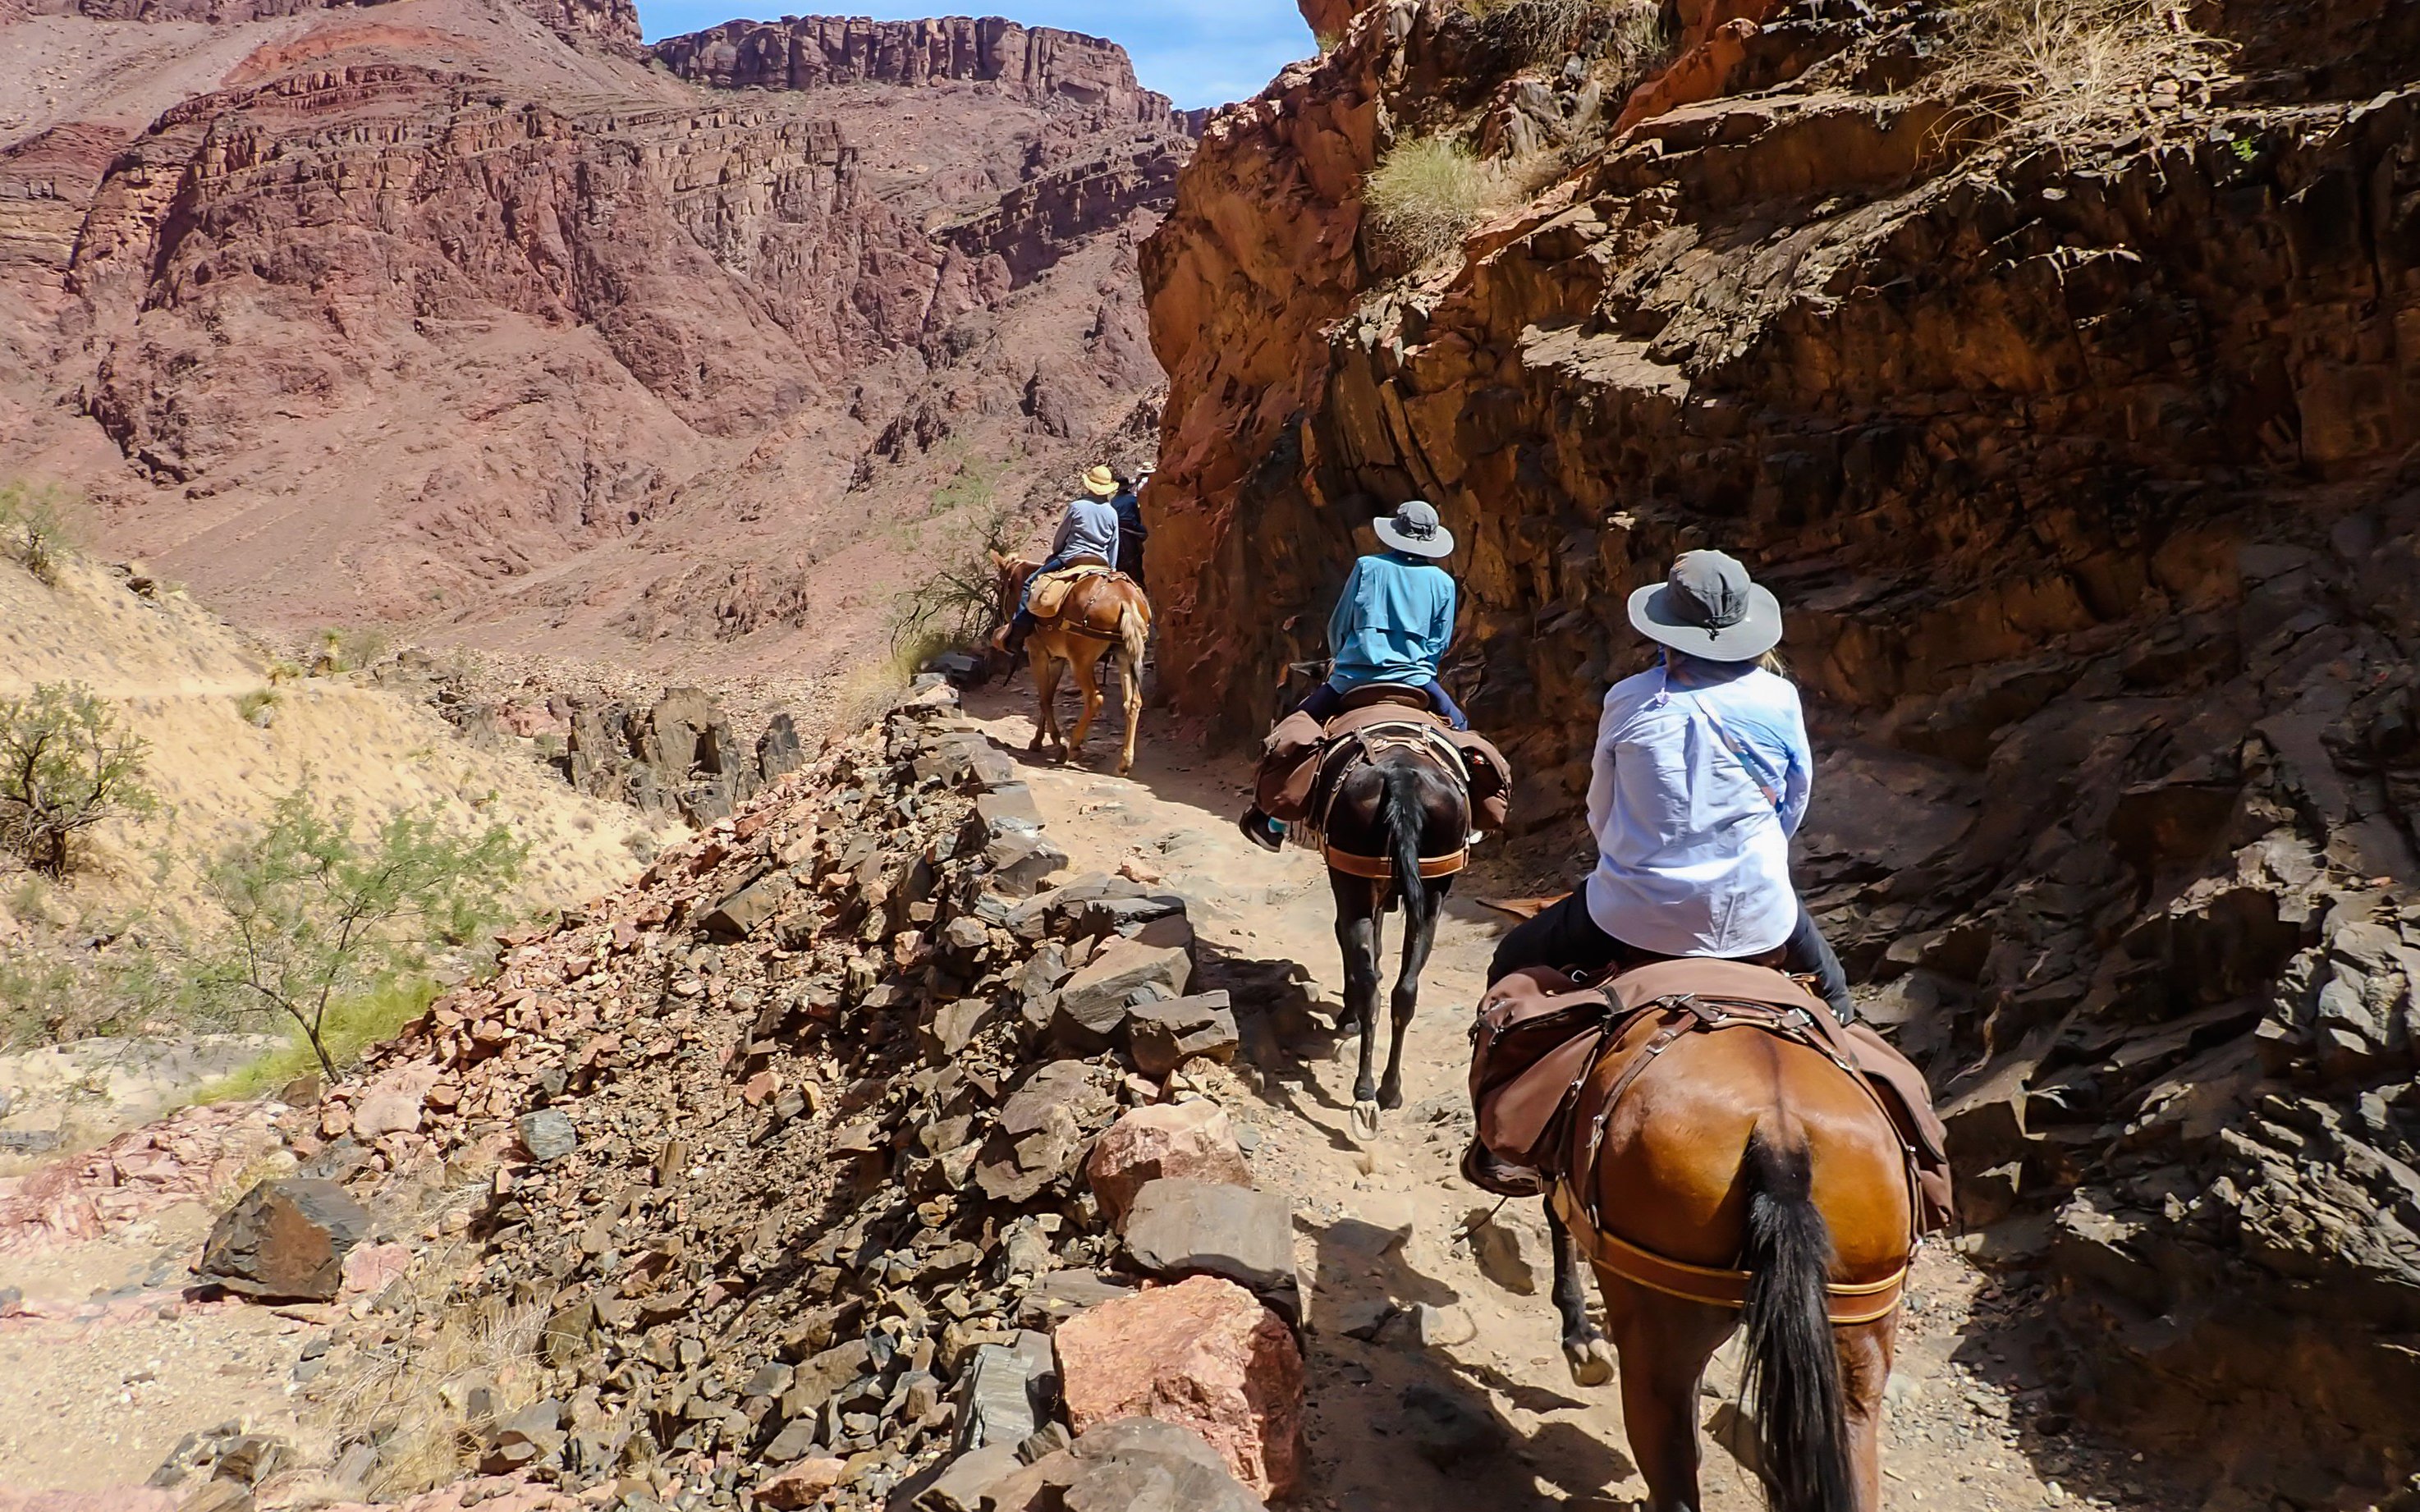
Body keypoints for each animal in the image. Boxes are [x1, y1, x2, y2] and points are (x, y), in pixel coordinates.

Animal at [988, 552, 1152, 776]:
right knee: (1133, 702)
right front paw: (1037, 741)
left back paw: (1074, 746)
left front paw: (1058, 745)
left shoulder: (1037, 654)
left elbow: (1044, 699)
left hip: (1081, 661)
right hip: (1125, 655)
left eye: (1000, 586)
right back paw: (1124, 763)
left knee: (1095, 698)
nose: (1001, 616)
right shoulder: (1058, 658)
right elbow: (1048, 696)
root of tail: (1126, 599)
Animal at [1317, 719, 1470, 1144]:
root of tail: (1402, 776)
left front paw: (1347, 1018)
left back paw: (1365, 1091)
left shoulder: (1353, 883)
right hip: (1432, 892)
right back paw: (1387, 1090)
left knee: (1370, 982)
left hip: (1353, 882)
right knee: (1405, 991)